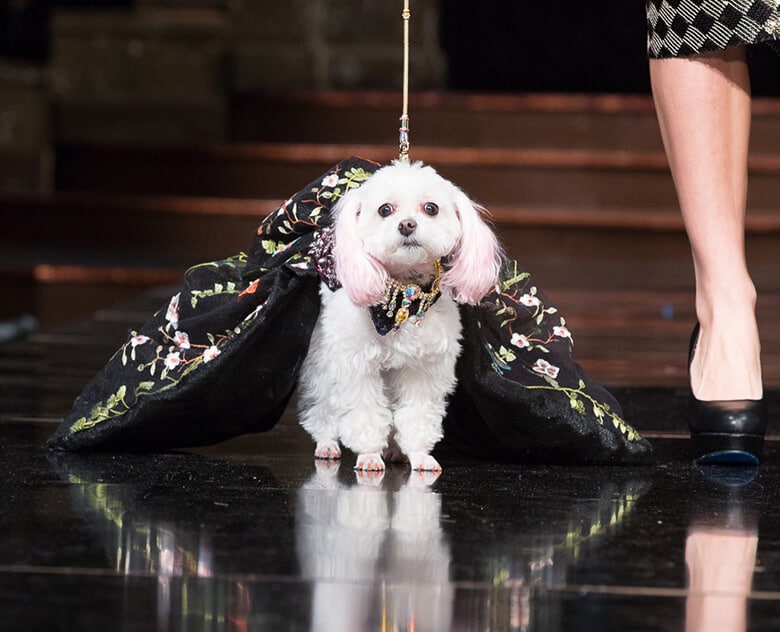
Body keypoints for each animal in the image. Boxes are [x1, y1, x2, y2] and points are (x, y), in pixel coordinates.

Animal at [296, 160, 502, 472]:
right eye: (384, 209)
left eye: (431, 208)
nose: (407, 225)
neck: (405, 292)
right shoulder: (356, 364)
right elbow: (364, 412)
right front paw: (369, 455)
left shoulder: (425, 369)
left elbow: (417, 414)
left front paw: (418, 454)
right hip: (322, 357)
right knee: (322, 404)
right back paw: (327, 443)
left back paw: (395, 450)